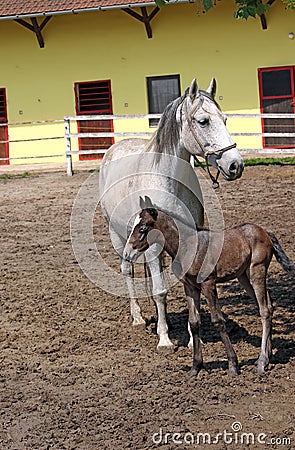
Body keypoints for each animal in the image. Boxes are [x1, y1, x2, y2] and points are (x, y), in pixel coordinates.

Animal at [100, 76, 245, 352]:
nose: (235, 165)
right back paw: (138, 317)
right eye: (203, 121)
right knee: (127, 270)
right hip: (118, 237)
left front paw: (192, 338)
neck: (168, 179)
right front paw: (165, 339)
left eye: (224, 119)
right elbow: (159, 291)